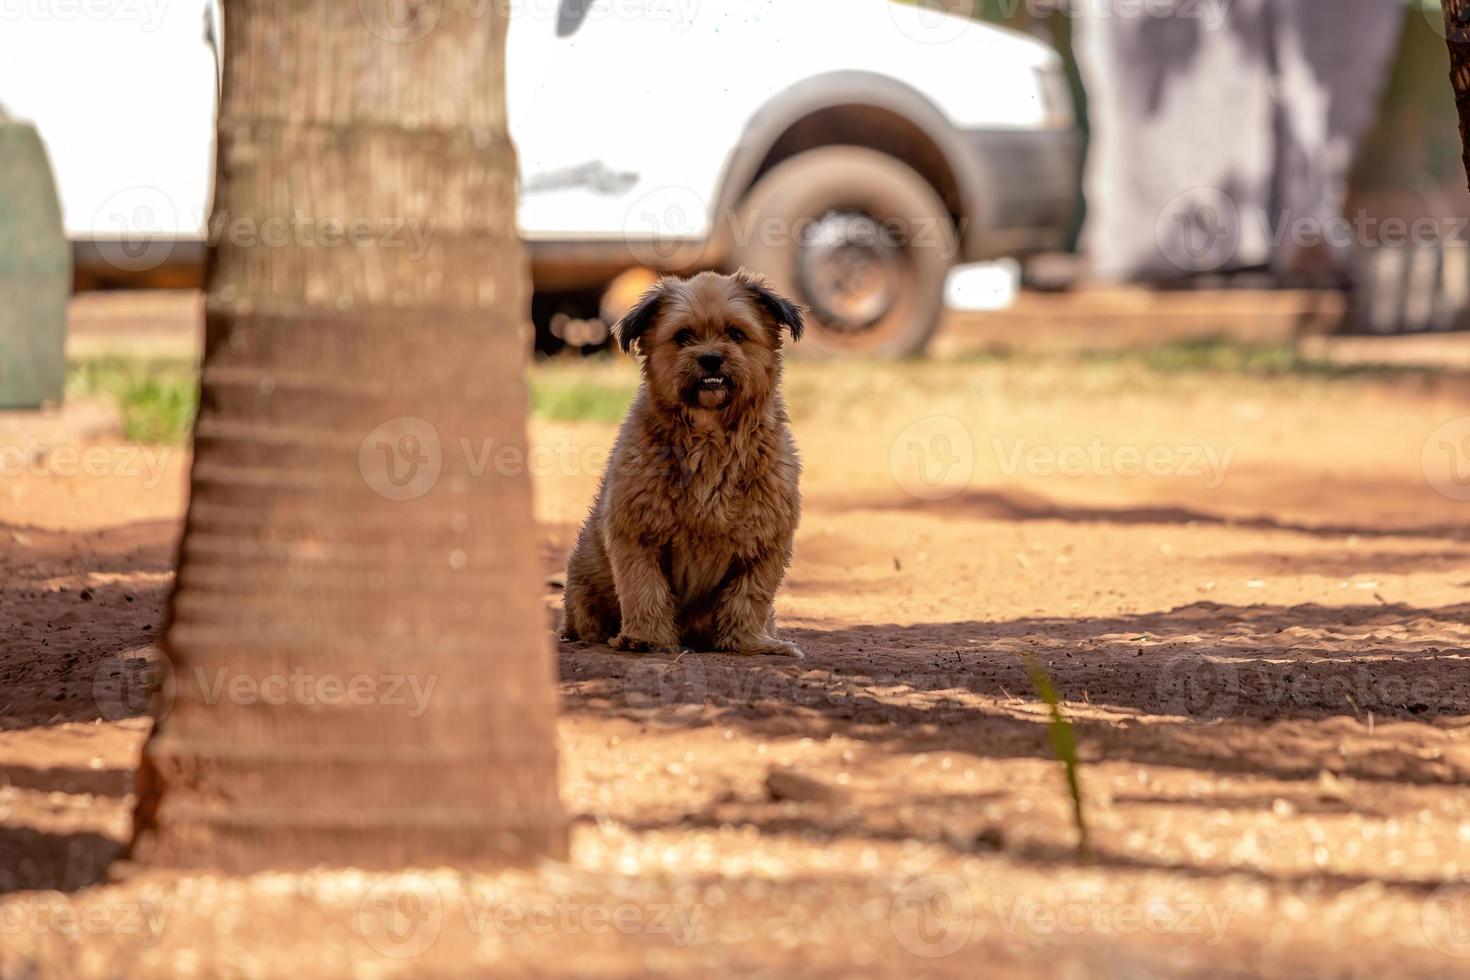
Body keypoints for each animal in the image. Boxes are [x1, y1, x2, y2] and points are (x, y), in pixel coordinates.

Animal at [561, 268, 811, 658]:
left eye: (737, 334)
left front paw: (750, 642)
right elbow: (644, 588)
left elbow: (748, 596)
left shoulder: (766, 542)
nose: (710, 358)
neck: (709, 440)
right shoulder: (636, 534)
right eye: (683, 336)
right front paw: (647, 638)